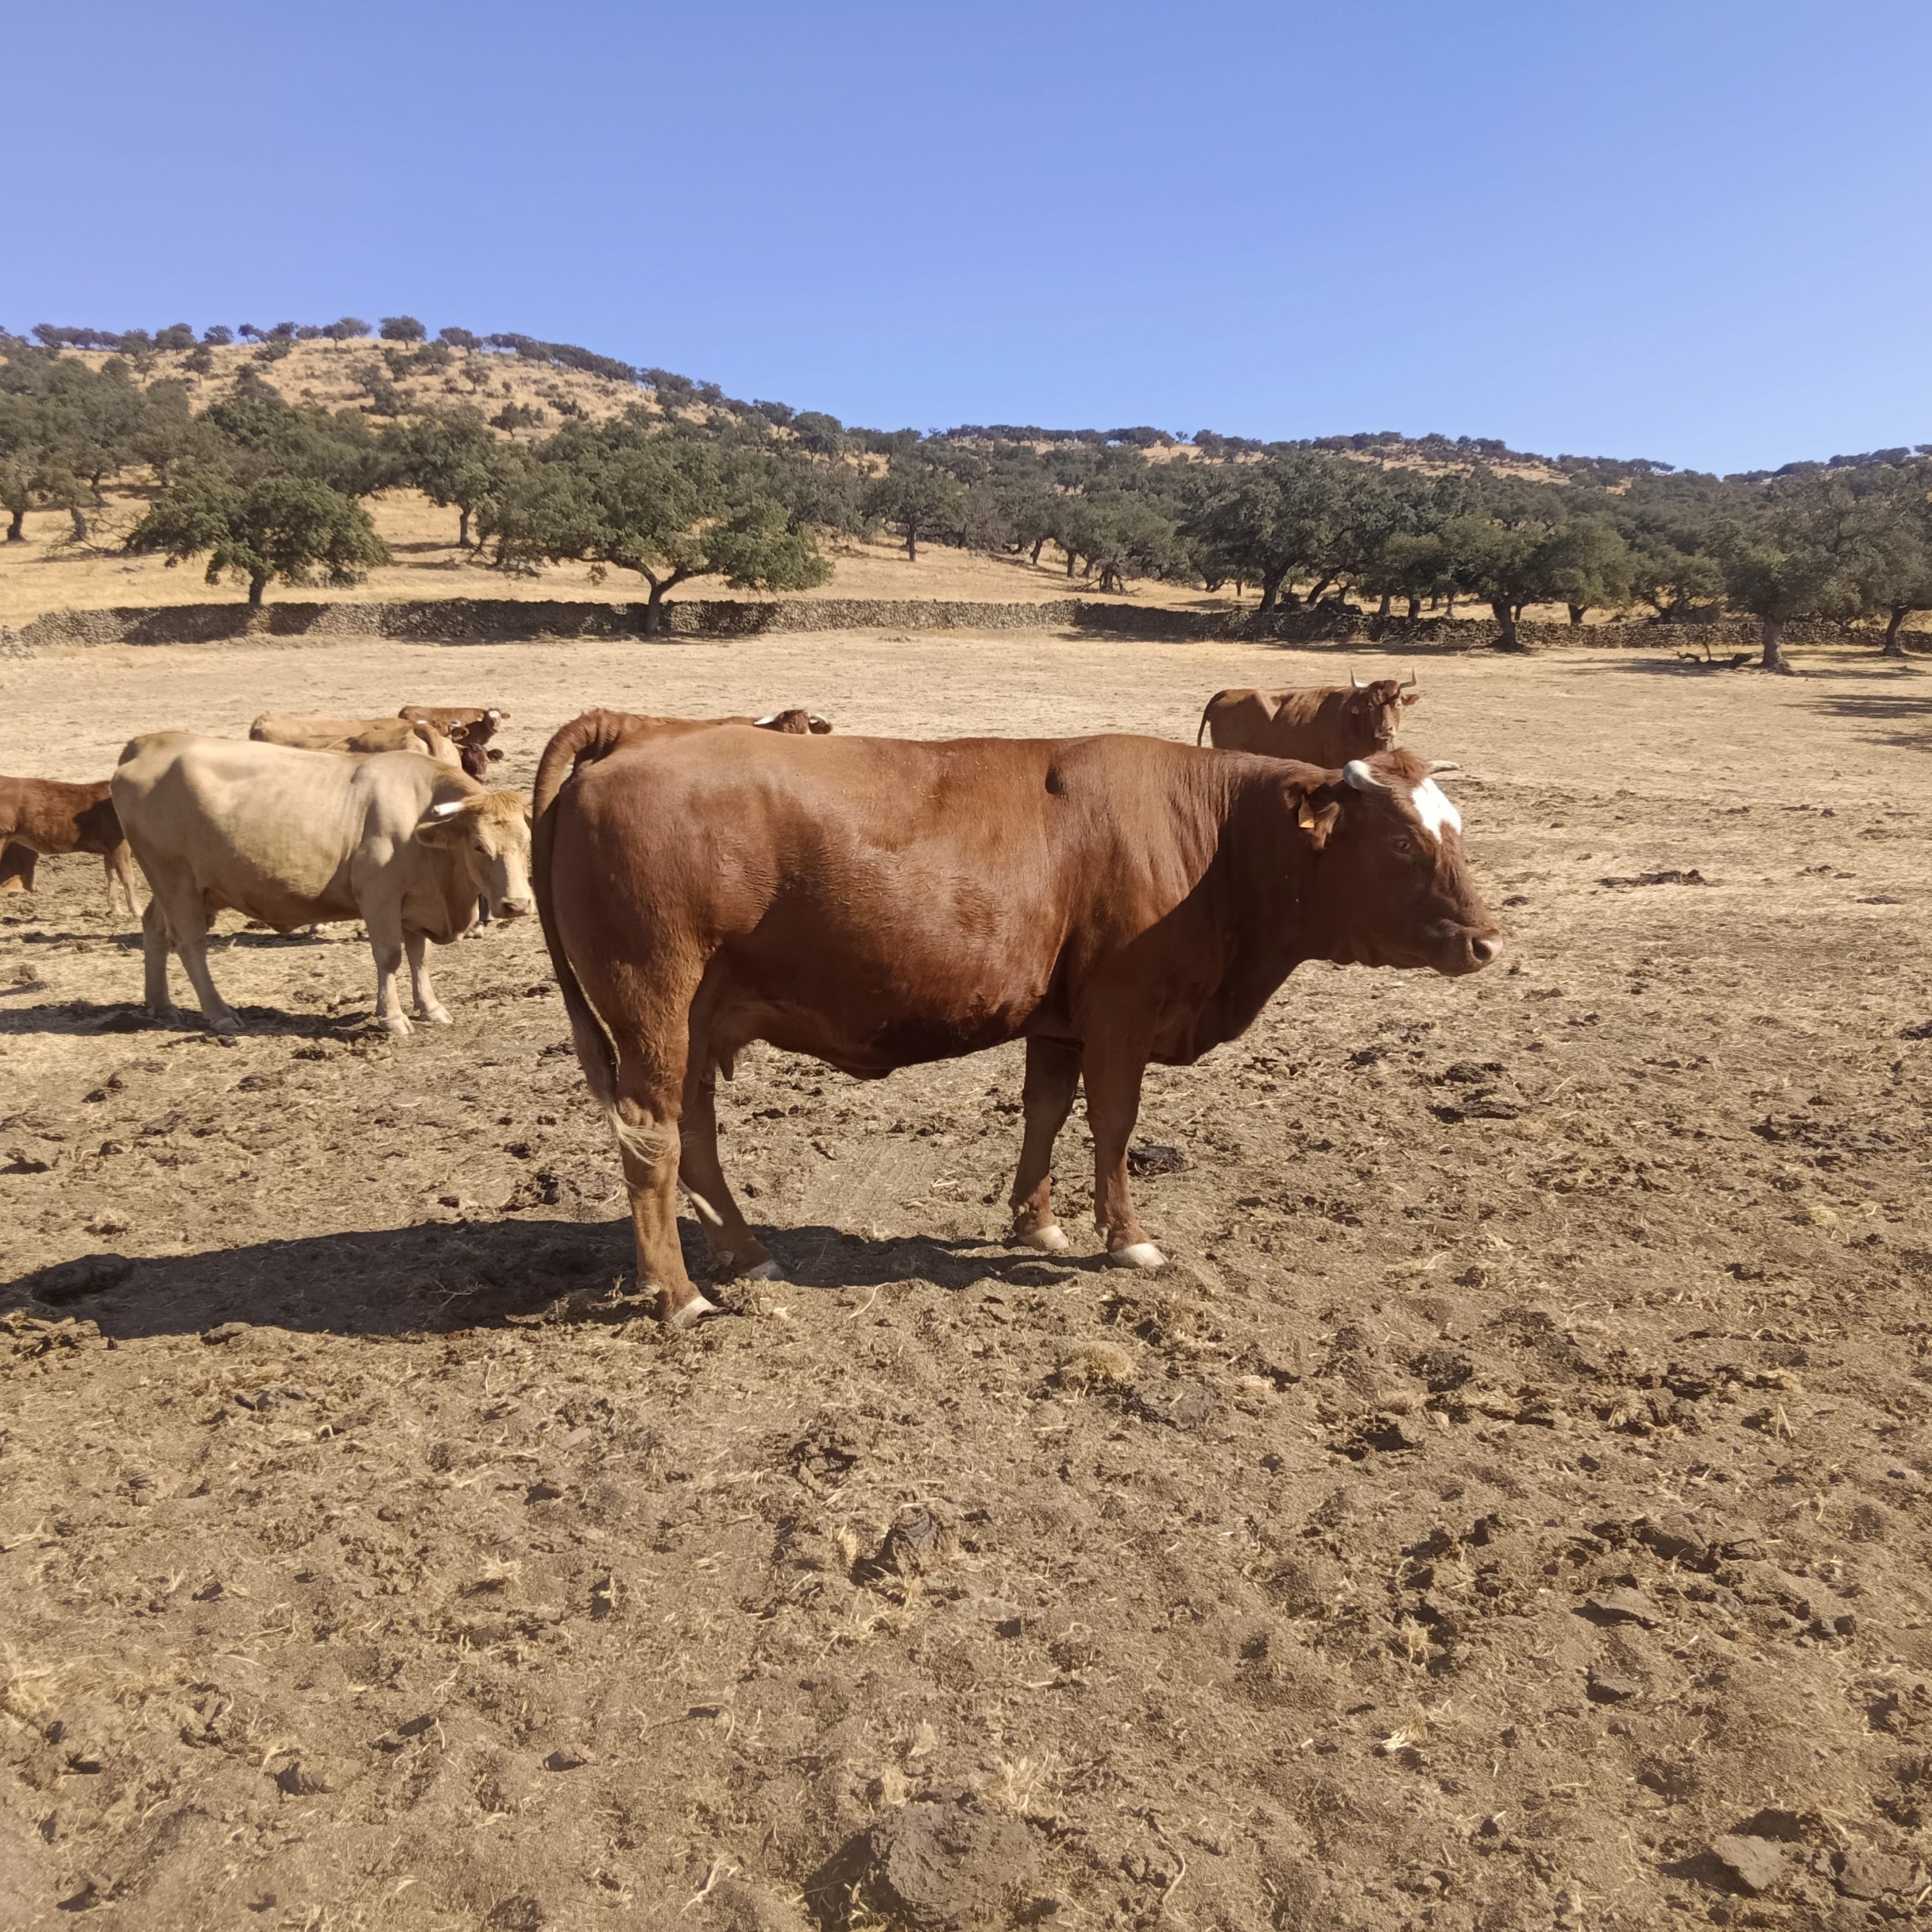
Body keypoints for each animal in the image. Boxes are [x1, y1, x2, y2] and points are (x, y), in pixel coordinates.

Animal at [0, 777, 139, 917]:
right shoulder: (119, 843)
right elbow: (127, 876)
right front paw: (136, 910)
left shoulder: (109, 848)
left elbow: (112, 877)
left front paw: (116, 909)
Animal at [112, 733, 532, 1040]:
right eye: (478, 846)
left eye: (526, 840)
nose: (517, 905)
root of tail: (151, 742)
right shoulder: (380, 897)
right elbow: (390, 956)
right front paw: (392, 1017)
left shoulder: (416, 901)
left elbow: (420, 957)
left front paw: (431, 1008)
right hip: (175, 879)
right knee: (190, 943)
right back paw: (219, 1013)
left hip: (180, 887)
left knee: (155, 928)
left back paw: (161, 1005)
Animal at [532, 715, 1501, 1325]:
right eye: (1403, 843)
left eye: (1455, 831)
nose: (1486, 941)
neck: (1214, 839)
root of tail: (636, 730)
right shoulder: (1121, 1013)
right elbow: (1112, 1122)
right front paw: (1128, 1239)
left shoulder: (1059, 1020)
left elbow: (1046, 1110)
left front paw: (1036, 1220)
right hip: (653, 1006)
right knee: (651, 1138)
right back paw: (678, 1294)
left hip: (694, 1021)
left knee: (691, 1130)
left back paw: (745, 1252)